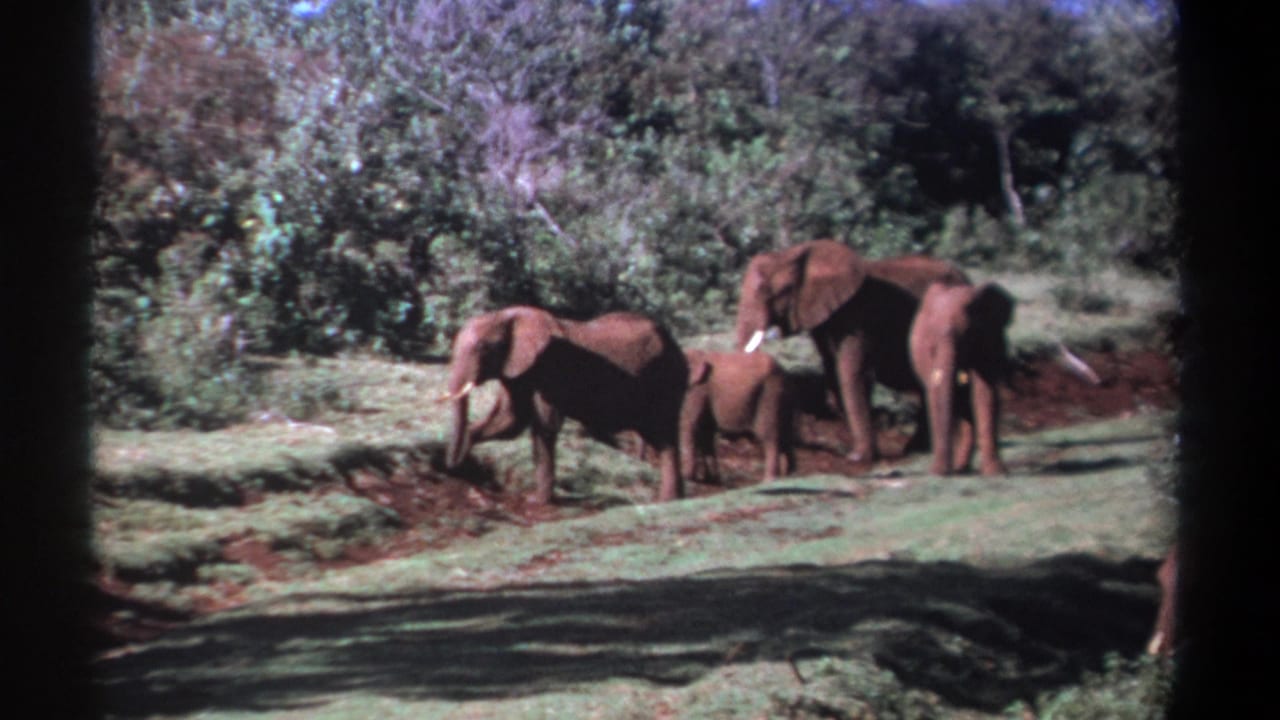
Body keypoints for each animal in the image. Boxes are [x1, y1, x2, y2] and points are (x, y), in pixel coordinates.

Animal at [442, 306, 689, 504]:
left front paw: (537, 501)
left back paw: (667, 501)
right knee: (662, 438)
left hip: (666, 377)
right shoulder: (517, 371)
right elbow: (509, 422)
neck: (506, 315)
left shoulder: (552, 367)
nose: (452, 468)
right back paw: (673, 499)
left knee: (665, 434)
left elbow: (545, 426)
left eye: (483, 347)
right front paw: (465, 458)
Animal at [680, 349, 796, 483]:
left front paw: (690, 477)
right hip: (783, 398)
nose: (686, 476)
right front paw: (712, 478)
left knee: (769, 437)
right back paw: (787, 476)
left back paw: (769, 480)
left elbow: (691, 426)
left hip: (770, 395)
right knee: (785, 435)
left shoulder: (696, 391)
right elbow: (705, 432)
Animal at [735, 240, 971, 462]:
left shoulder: (858, 318)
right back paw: (917, 450)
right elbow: (833, 370)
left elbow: (852, 372)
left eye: (773, 292)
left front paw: (858, 457)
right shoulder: (824, 319)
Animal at [908, 281, 1015, 476]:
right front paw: (938, 472)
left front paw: (996, 472)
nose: (941, 473)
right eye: (932, 343)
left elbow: (985, 393)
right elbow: (936, 394)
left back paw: (963, 467)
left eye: (966, 336)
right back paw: (960, 468)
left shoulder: (989, 340)